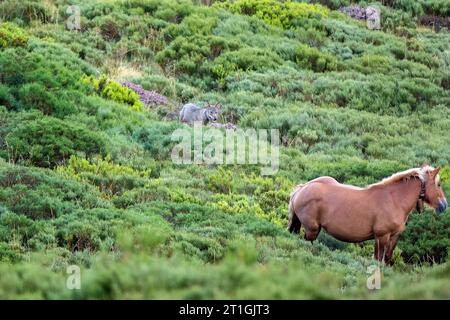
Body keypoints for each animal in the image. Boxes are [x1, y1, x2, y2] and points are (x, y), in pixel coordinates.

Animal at [288, 165, 446, 264]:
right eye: (438, 184)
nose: (444, 205)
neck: (394, 200)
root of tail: (302, 188)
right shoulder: (382, 236)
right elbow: (379, 259)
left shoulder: (392, 237)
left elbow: (386, 258)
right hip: (312, 229)